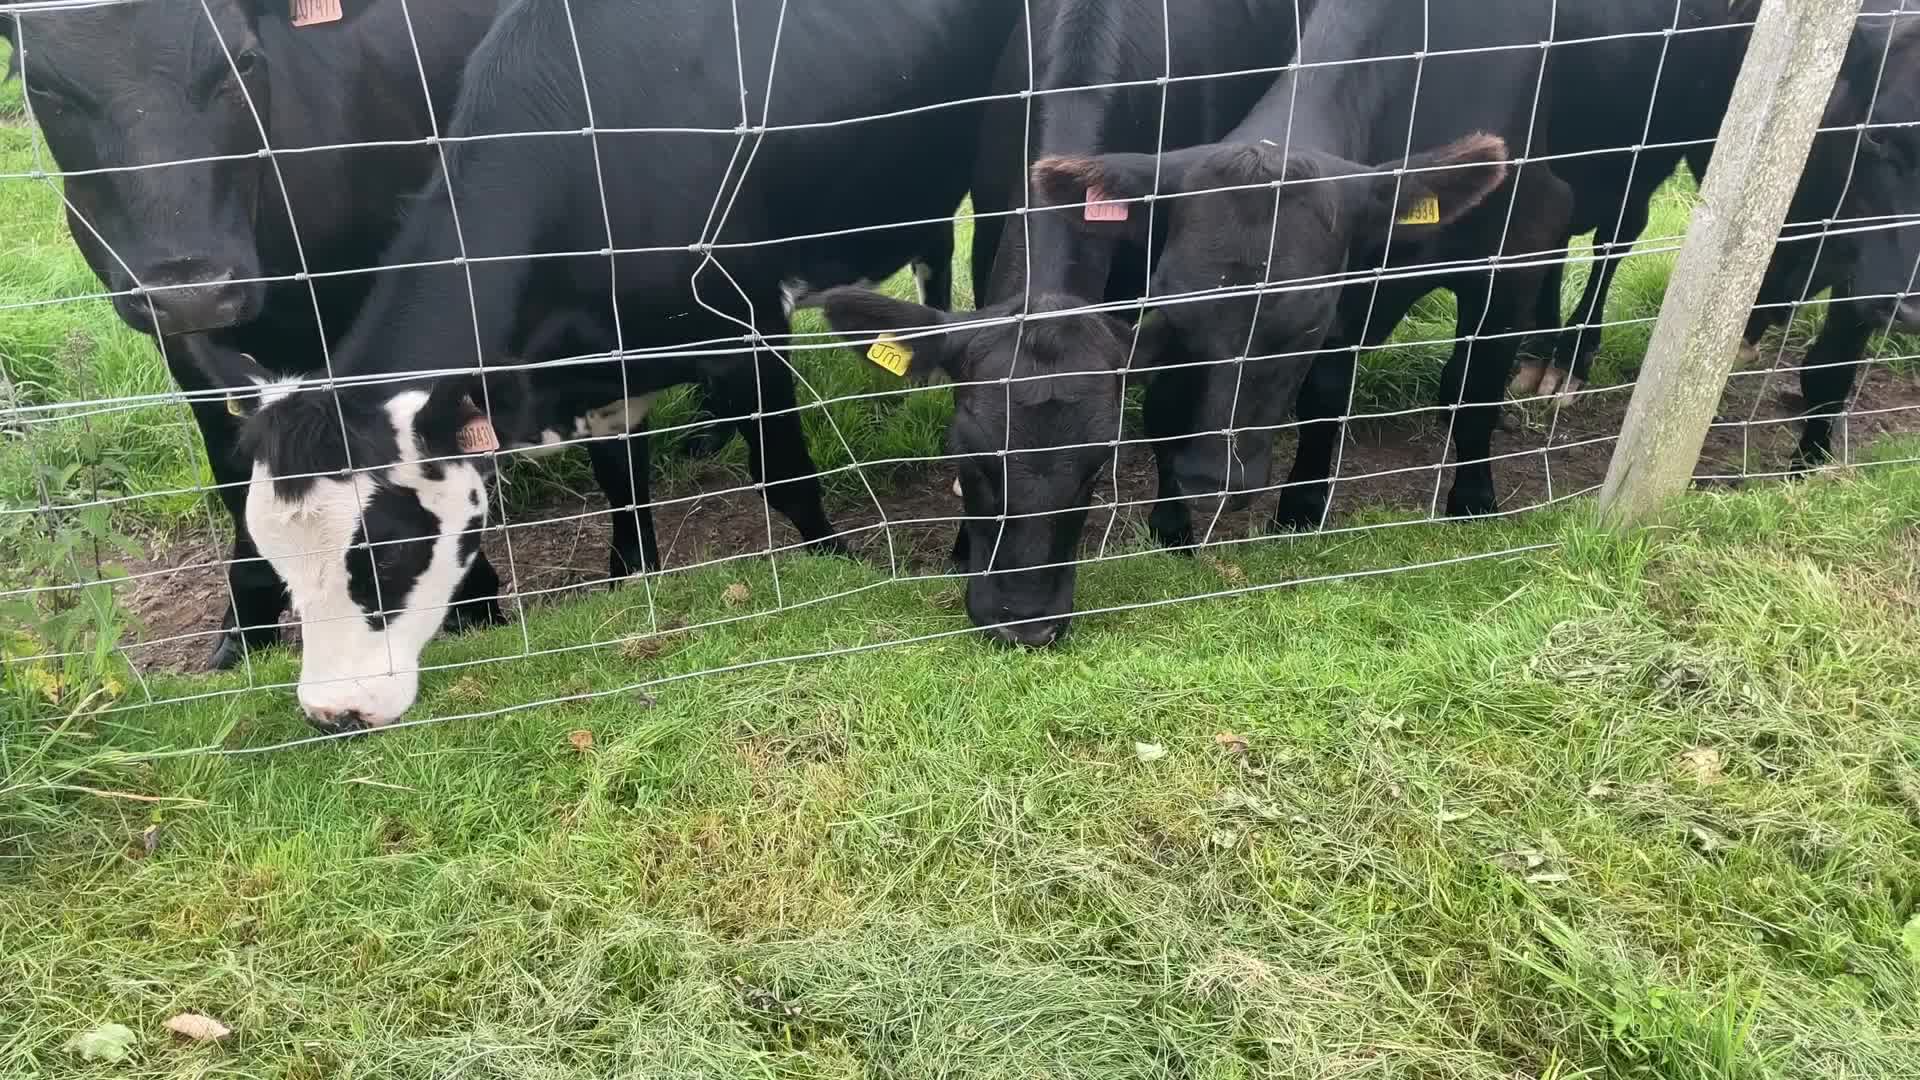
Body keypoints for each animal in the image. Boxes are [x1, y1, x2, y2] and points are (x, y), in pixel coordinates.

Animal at [3, 0, 504, 671]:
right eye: (42, 86)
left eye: (242, 61)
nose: (190, 290)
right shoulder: (181, 343)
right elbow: (231, 463)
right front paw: (246, 623)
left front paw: (469, 598)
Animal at [187, 0, 1021, 731]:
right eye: (272, 553)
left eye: (387, 551)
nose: (334, 712)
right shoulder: (605, 363)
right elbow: (622, 481)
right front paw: (628, 579)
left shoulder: (751, 323)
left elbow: (784, 475)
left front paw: (839, 563)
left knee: (937, 257)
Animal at [1029, 0, 1759, 542]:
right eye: (1169, 311)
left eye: (1303, 324)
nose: (1210, 477)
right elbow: (1324, 396)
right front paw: (1302, 507)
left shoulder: (1519, 238)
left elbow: (1471, 384)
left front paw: (1472, 497)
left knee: (1618, 237)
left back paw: (1568, 360)